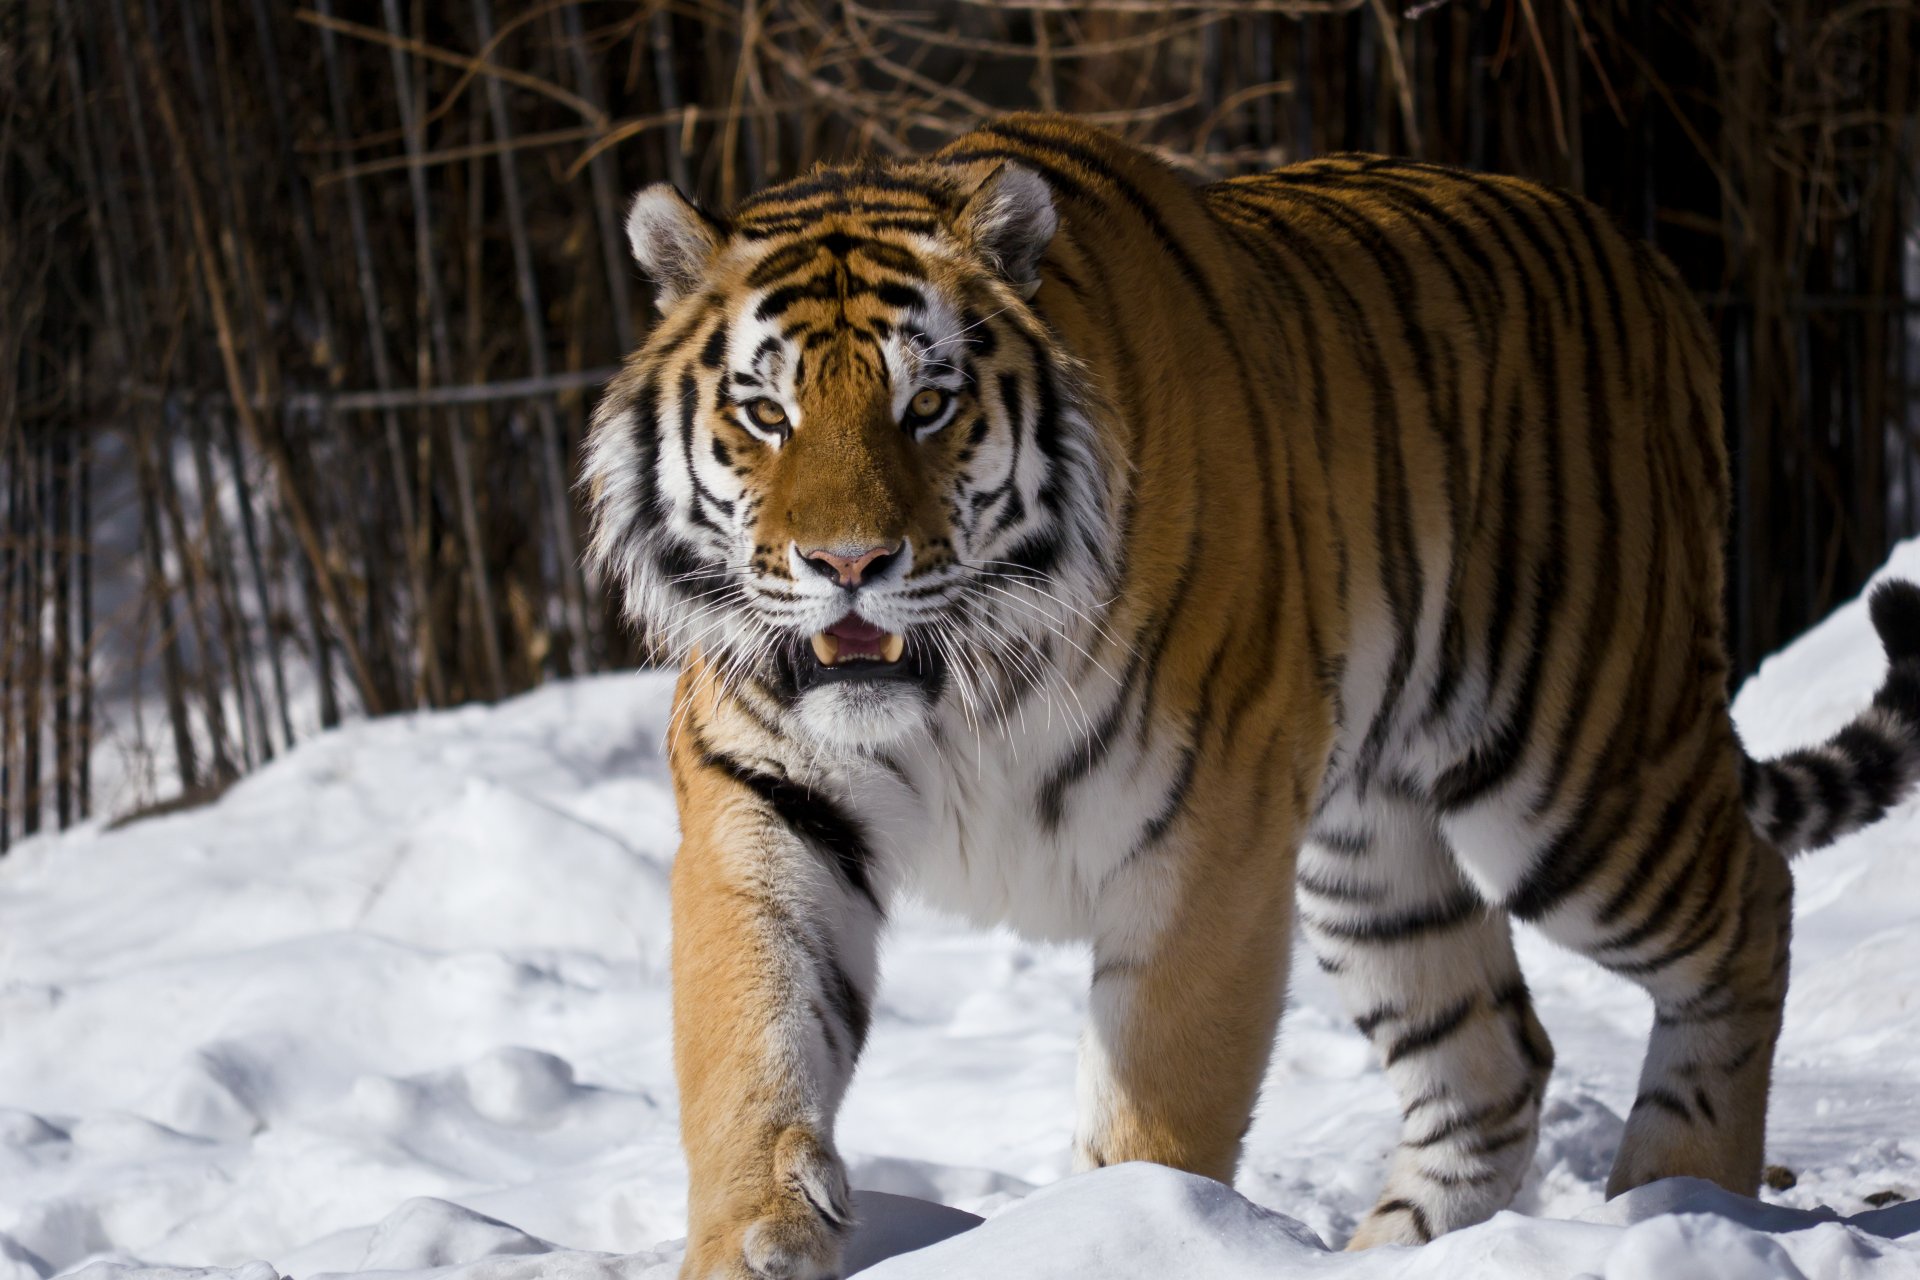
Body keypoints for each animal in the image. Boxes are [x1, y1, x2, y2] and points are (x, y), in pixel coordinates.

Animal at [580, 113, 1920, 1277]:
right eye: (766, 411)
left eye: (930, 404)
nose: (848, 563)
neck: (959, 683)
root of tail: (1656, 273)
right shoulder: (767, 796)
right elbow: (751, 1040)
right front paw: (754, 1237)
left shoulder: (1206, 833)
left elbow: (1159, 1103)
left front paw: (1118, 1238)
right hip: (1371, 851)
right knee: (1493, 1057)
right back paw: (1395, 1255)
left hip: (1573, 767)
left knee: (1752, 903)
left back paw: (1678, 1192)